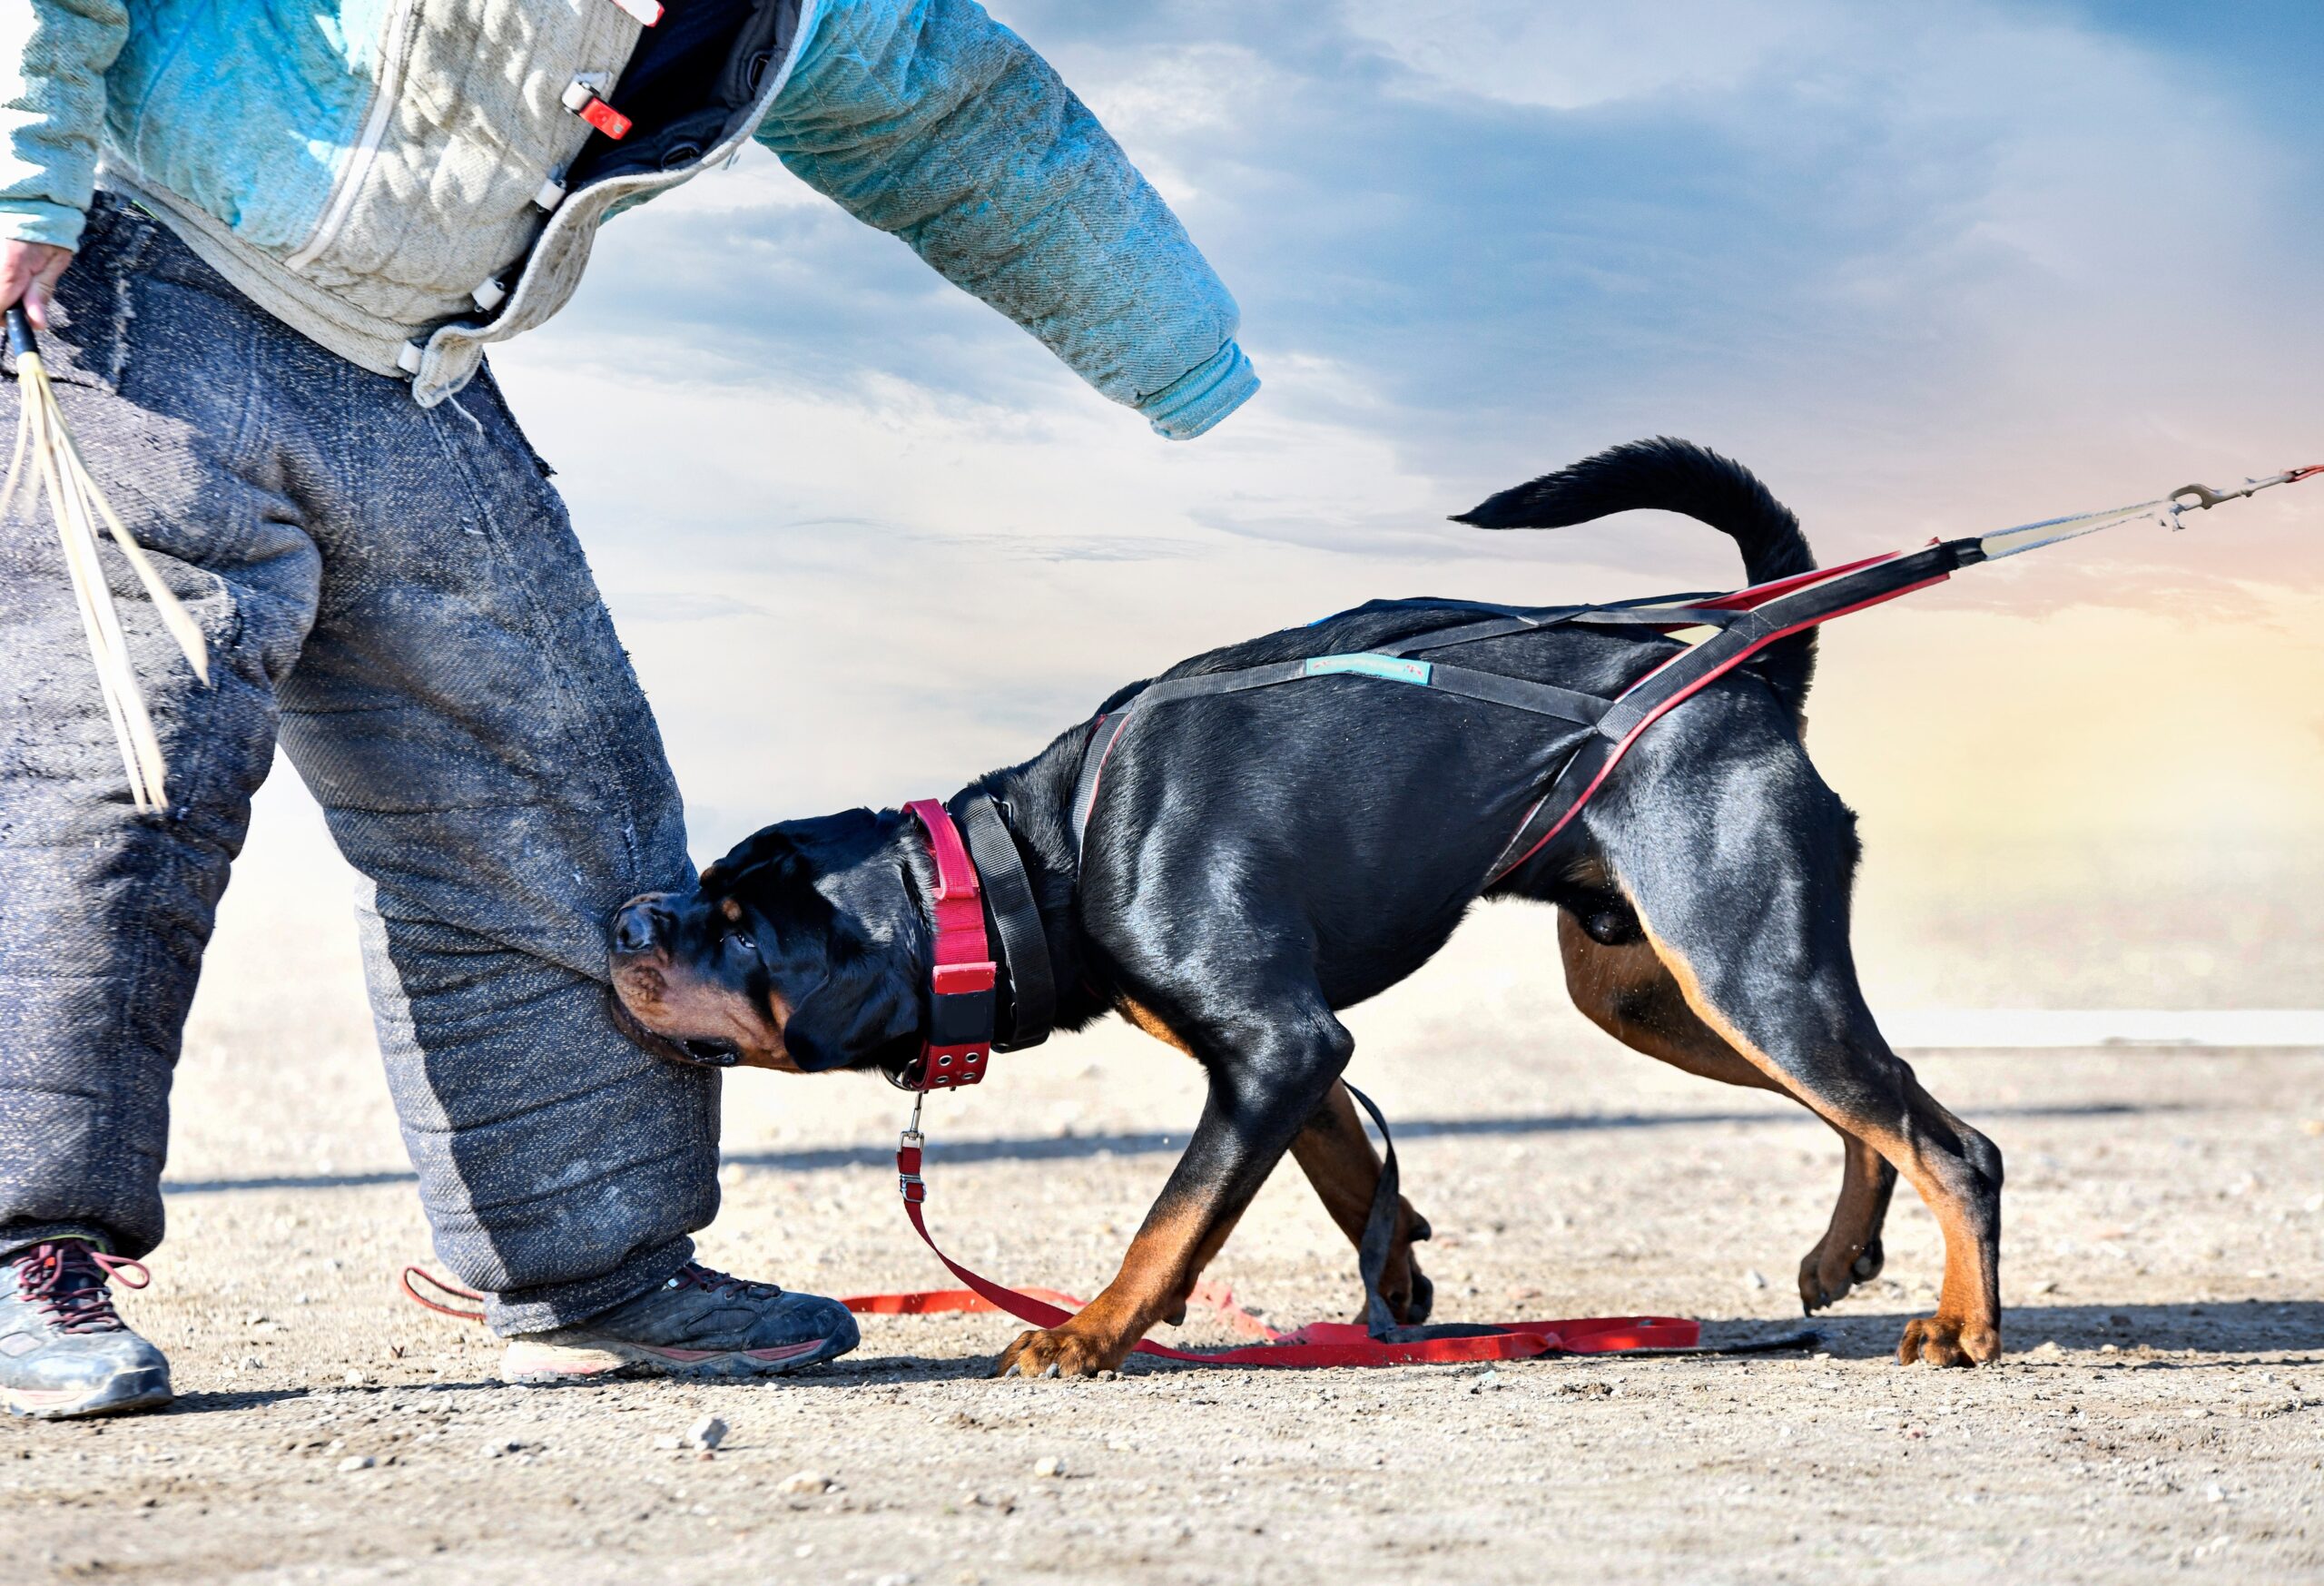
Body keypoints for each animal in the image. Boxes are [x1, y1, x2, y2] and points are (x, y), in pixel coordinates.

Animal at [608, 441, 2007, 1367]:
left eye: (738, 922)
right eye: (705, 895)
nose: (628, 920)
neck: (1045, 853)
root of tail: (1747, 671)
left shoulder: (1275, 1038)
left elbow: (1173, 1212)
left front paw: (1092, 1329)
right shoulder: (1283, 1048)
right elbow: (1339, 1157)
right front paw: (1393, 1267)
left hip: (1737, 962)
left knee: (1948, 1141)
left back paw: (1965, 1324)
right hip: (1662, 992)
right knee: (1885, 1104)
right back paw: (1845, 1254)